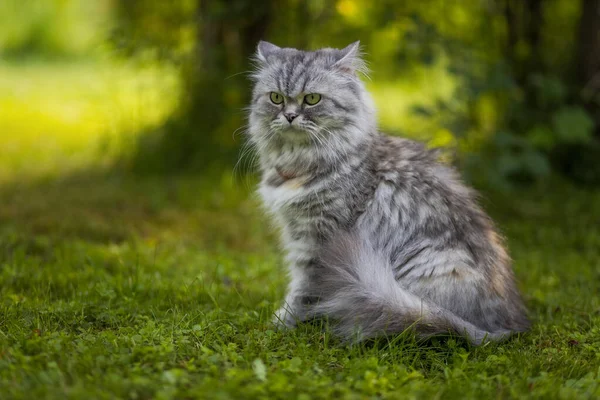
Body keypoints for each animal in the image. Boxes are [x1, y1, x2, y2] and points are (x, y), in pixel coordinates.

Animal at [246, 41, 528, 346]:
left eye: (311, 99)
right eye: (276, 98)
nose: (289, 116)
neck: (300, 162)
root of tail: (502, 328)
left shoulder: (317, 237)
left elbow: (302, 290)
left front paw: (283, 323)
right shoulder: (298, 231)